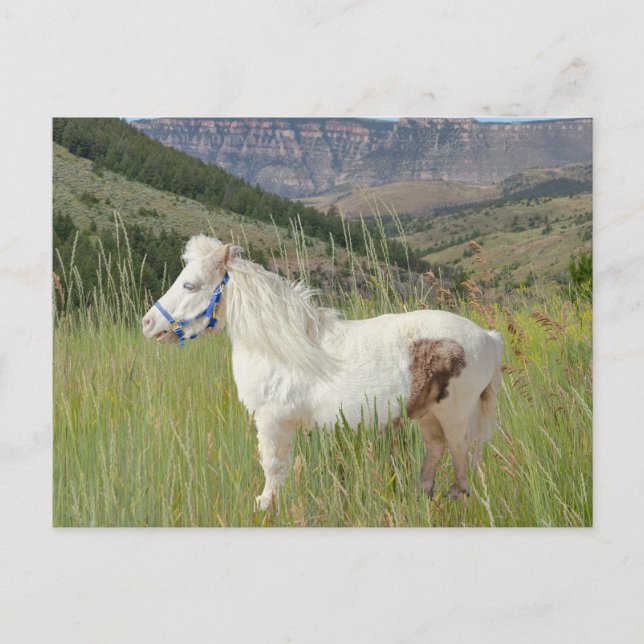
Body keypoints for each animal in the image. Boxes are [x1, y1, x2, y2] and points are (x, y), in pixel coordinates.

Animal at [142, 235, 504, 510]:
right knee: (436, 449)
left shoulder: (272, 422)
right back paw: (421, 494)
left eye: (190, 285)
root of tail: (488, 336)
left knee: (459, 454)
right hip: (428, 414)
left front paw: (264, 506)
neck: (280, 347)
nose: (148, 323)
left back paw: (456, 496)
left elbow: (272, 466)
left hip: (455, 415)